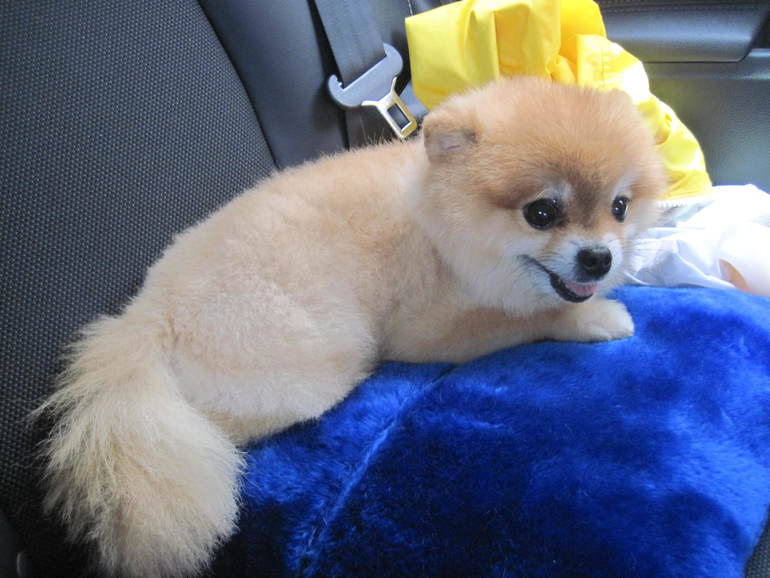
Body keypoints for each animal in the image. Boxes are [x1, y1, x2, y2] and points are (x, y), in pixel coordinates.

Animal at [36, 77, 666, 577]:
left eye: (619, 208)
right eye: (541, 213)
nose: (599, 259)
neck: (436, 222)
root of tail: (148, 316)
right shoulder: (432, 328)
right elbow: (533, 315)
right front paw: (595, 316)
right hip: (310, 364)